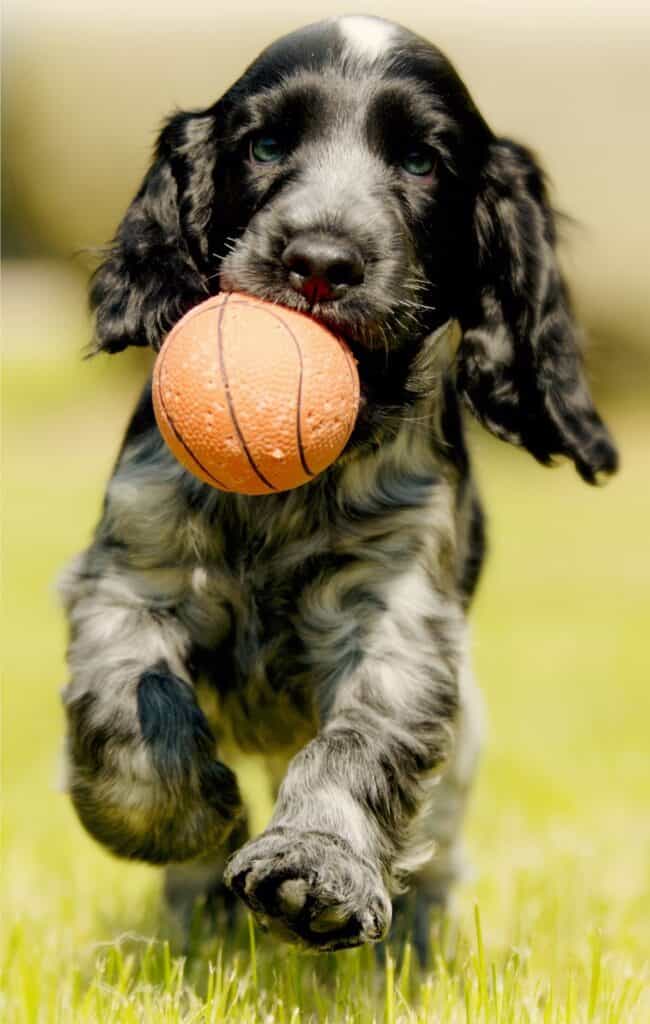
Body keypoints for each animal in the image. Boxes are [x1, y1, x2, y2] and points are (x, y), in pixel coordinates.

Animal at [60, 16, 622, 958]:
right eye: (265, 146)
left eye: (422, 161)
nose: (320, 261)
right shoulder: (133, 570)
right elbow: (128, 698)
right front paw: (181, 819)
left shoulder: (396, 613)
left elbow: (359, 743)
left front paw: (315, 870)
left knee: (440, 843)